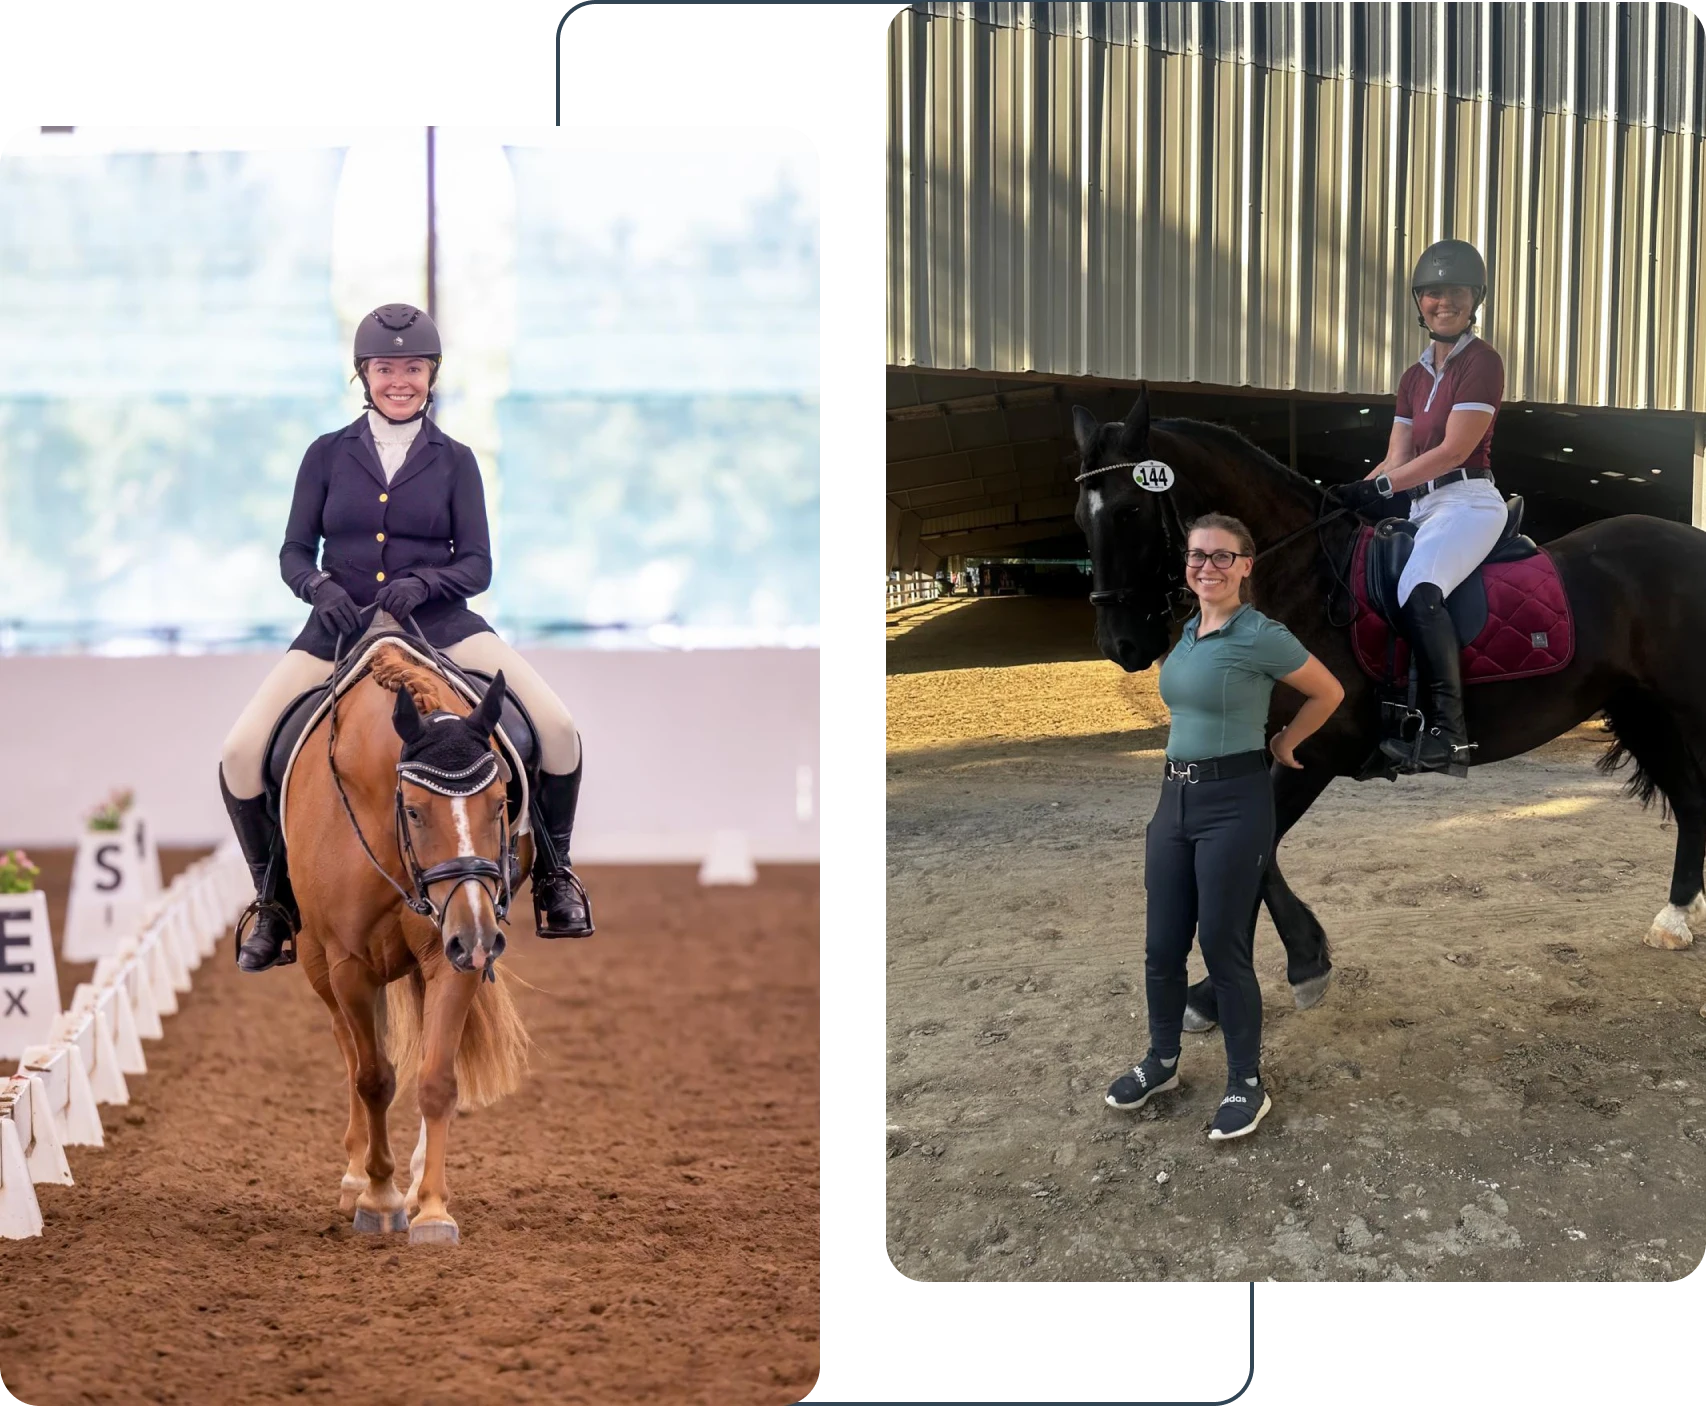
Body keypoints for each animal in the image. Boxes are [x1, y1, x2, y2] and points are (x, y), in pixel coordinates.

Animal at [284, 638, 525, 1242]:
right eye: (415, 812)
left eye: (501, 804)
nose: (478, 934)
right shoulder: (349, 963)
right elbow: (372, 1079)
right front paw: (379, 1199)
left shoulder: (448, 957)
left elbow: (436, 1078)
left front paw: (433, 1208)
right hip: (319, 962)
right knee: (349, 1049)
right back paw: (356, 1178)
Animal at [1071, 390, 1706, 1023]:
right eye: (1081, 517)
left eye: (1128, 511)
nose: (1122, 645)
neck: (1302, 577)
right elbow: (1252, 857)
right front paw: (1251, 979)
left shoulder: (1313, 753)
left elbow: (1256, 857)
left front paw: (1288, 970)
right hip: (1641, 712)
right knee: (1690, 800)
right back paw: (1676, 916)